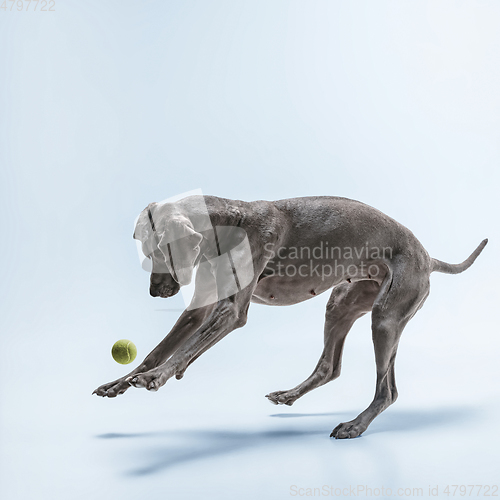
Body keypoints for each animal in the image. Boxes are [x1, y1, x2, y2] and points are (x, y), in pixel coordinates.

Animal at [92, 195, 486, 438]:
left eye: (159, 252)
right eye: (147, 252)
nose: (156, 292)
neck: (230, 220)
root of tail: (428, 257)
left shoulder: (230, 311)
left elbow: (184, 350)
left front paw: (154, 378)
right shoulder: (200, 308)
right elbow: (158, 350)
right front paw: (121, 381)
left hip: (386, 317)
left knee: (387, 390)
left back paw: (354, 426)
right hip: (343, 303)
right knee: (330, 367)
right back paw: (290, 395)